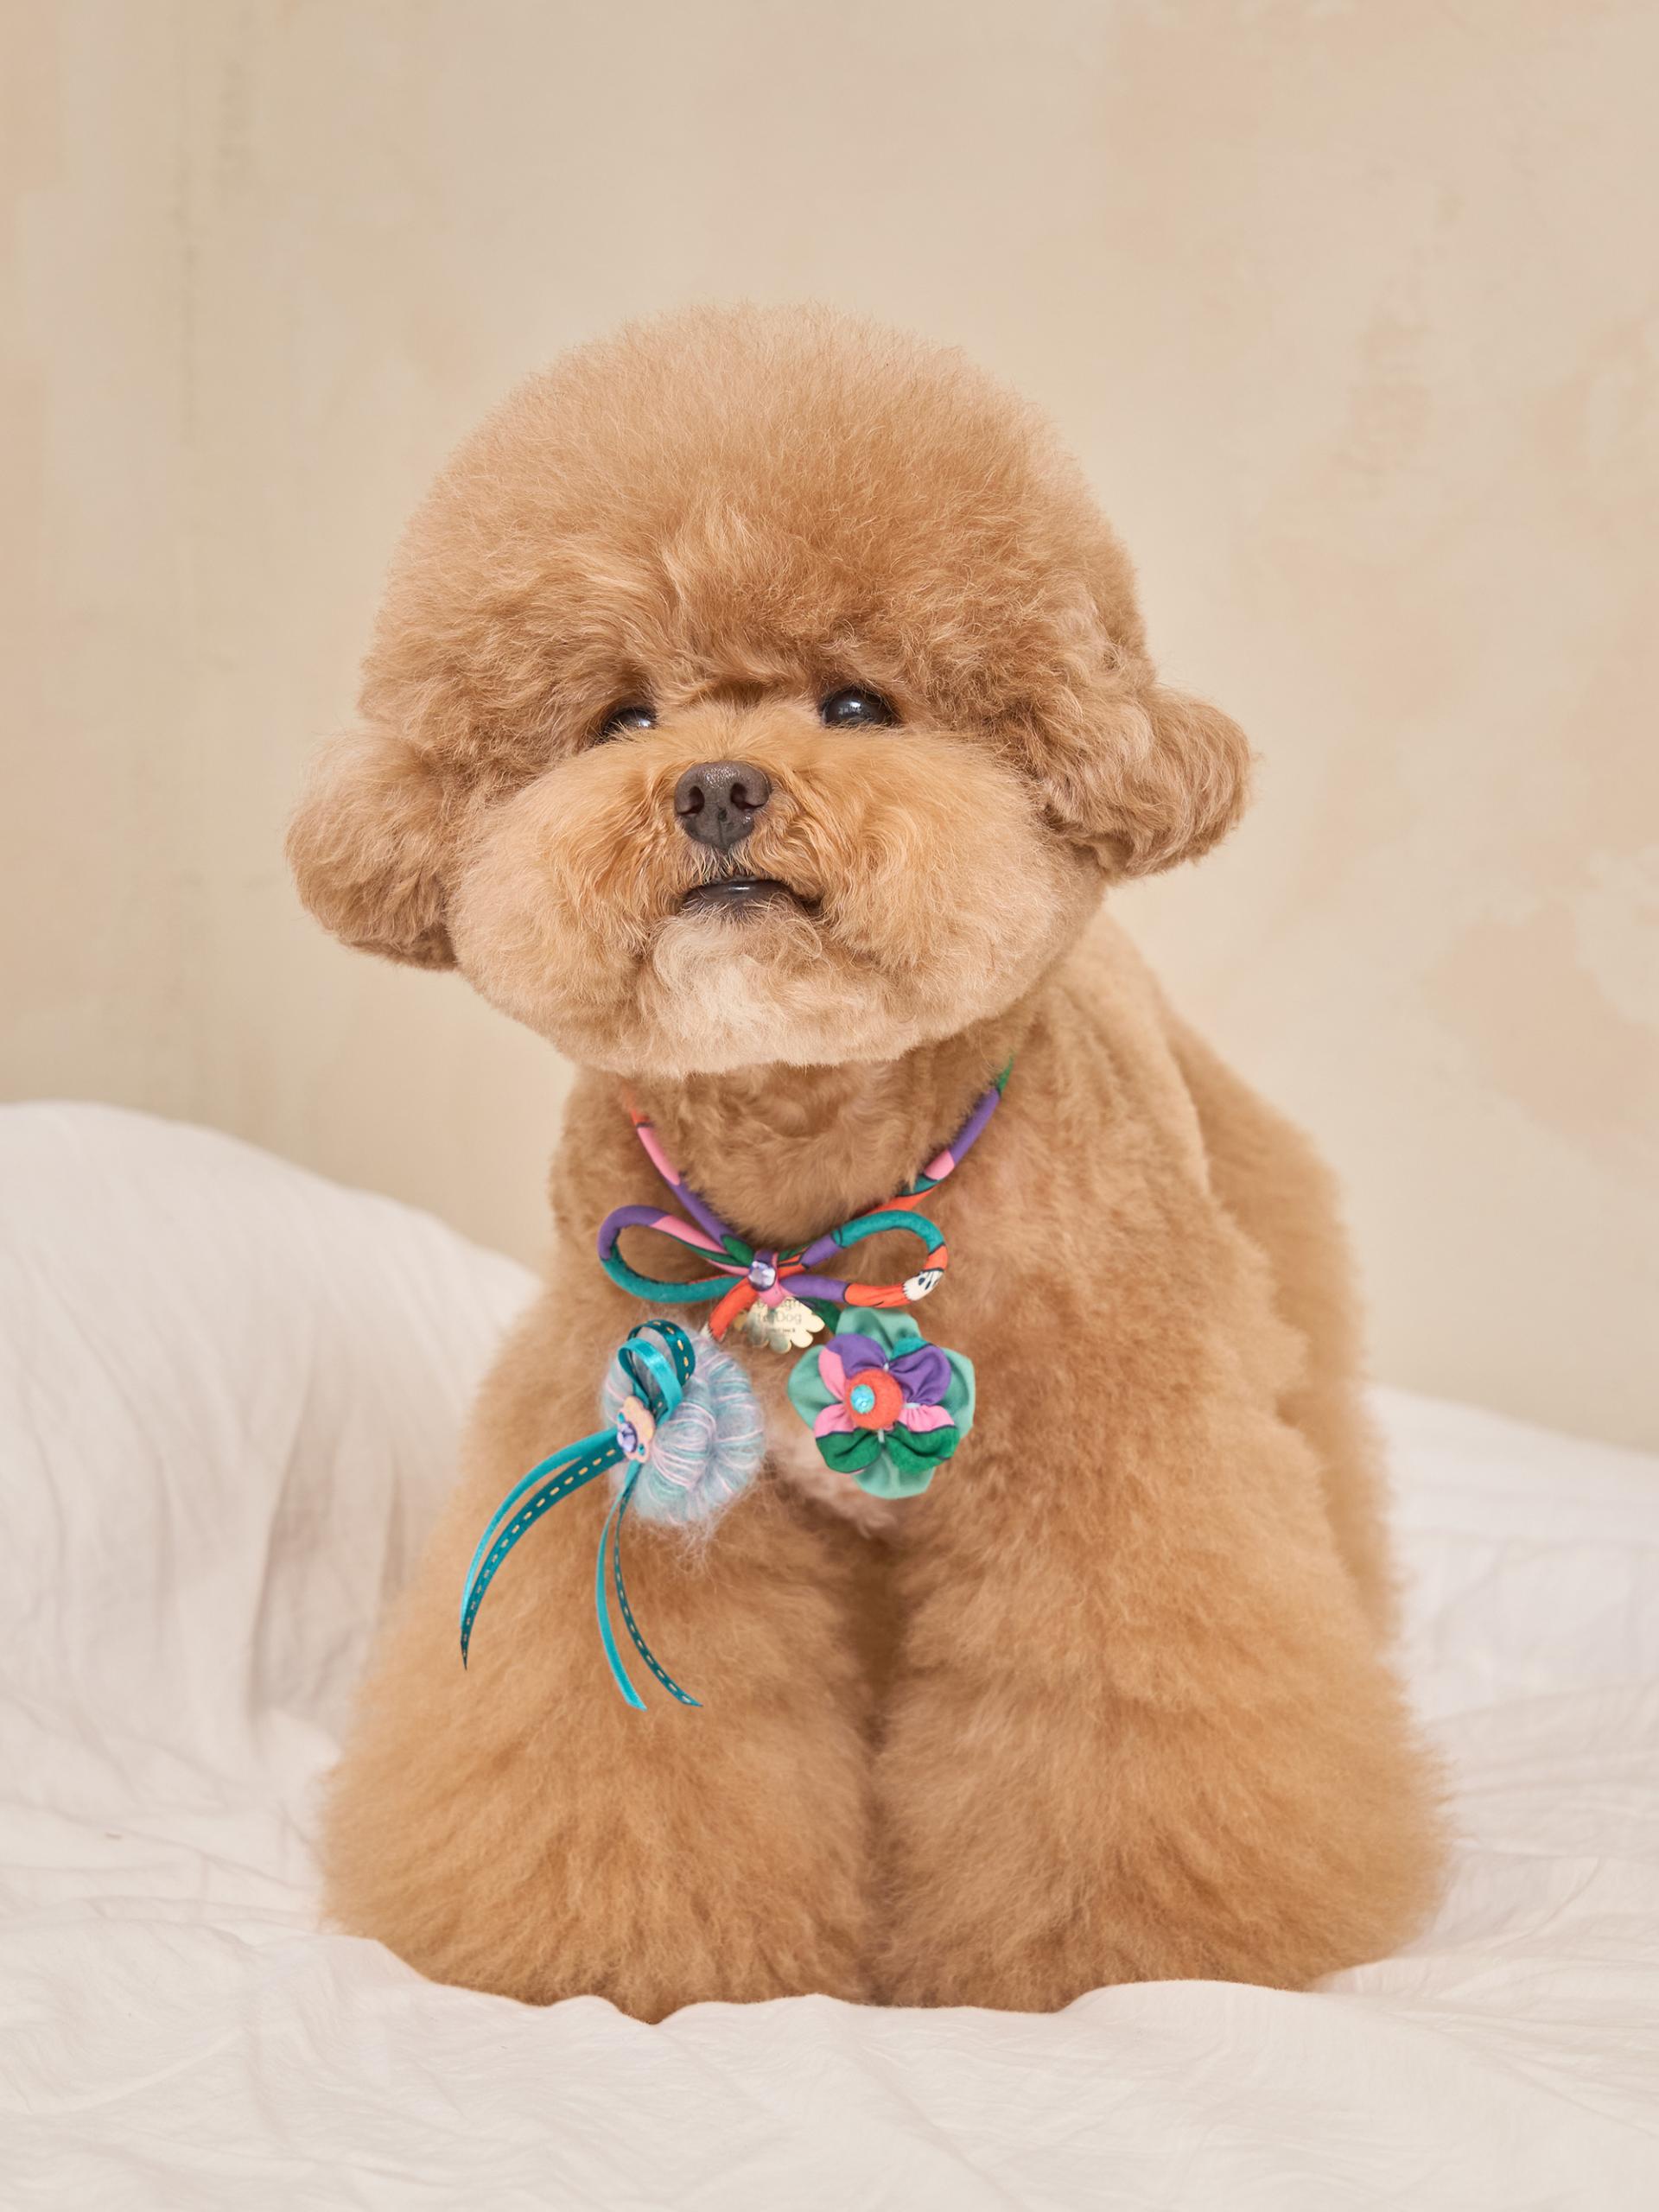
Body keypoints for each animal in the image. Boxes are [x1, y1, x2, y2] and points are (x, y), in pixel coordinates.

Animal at [288, 304, 1443, 2018]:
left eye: (855, 706)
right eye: (620, 718)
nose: (716, 785)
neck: (809, 1204)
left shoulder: (1118, 1469)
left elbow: (1128, 1724)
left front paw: (1116, 1956)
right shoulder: (640, 1476)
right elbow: (618, 1754)